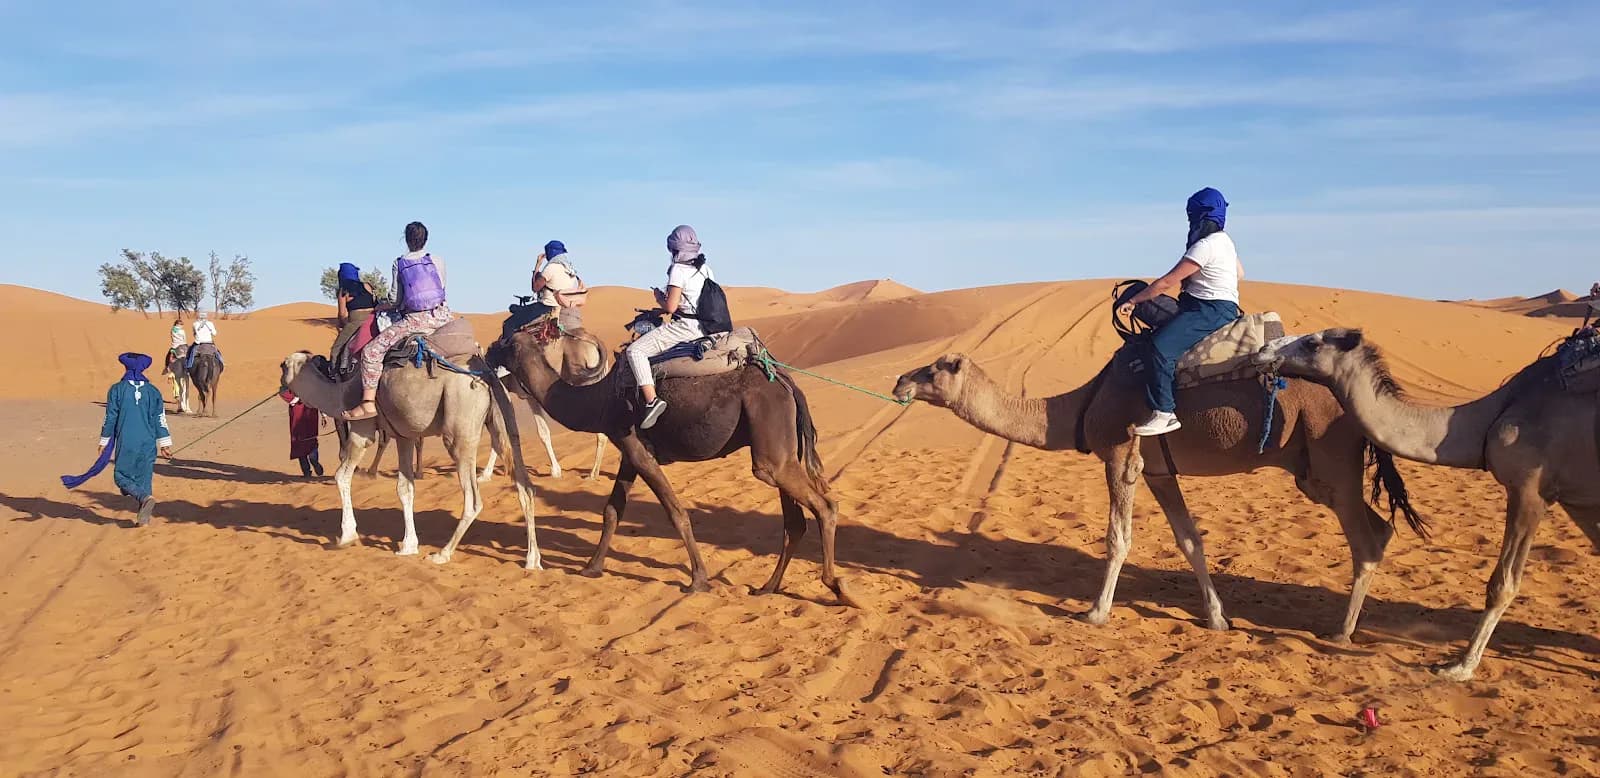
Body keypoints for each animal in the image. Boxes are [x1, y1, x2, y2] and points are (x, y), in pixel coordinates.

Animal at [280, 350, 542, 569]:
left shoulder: (362, 429)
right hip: (504, 418)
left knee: (473, 500)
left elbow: (341, 476)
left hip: (460, 429)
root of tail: (487, 377)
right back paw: (532, 560)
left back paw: (443, 553)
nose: (282, 386)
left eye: (285, 366)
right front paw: (408, 545)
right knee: (525, 487)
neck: (340, 393)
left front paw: (347, 536)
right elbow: (405, 488)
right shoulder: (403, 436)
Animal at [486, 320, 853, 603]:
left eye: (506, 342)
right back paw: (767, 587)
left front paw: (699, 580)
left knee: (823, 505)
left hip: (769, 443)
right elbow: (611, 511)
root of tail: (788, 384)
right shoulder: (629, 451)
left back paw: (837, 587)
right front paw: (591, 567)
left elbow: (676, 513)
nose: (486, 351)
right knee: (794, 521)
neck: (598, 400)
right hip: (780, 450)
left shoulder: (636, 448)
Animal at [892, 352, 1424, 641]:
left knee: (1367, 539)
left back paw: (1341, 631)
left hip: (1330, 459)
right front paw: (1217, 618)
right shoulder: (1160, 473)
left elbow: (1117, 539)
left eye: (939, 369)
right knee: (1380, 528)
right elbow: (1190, 541)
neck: (1082, 405)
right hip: (1314, 471)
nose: (899, 380)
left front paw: (1096, 612)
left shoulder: (1120, 455)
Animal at [1253, 328, 1600, 680]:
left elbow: (1502, 584)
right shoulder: (1580, 500)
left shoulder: (1530, 490)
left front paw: (1459, 666)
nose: (1263, 351)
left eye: (1313, 342)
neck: (1492, 418)